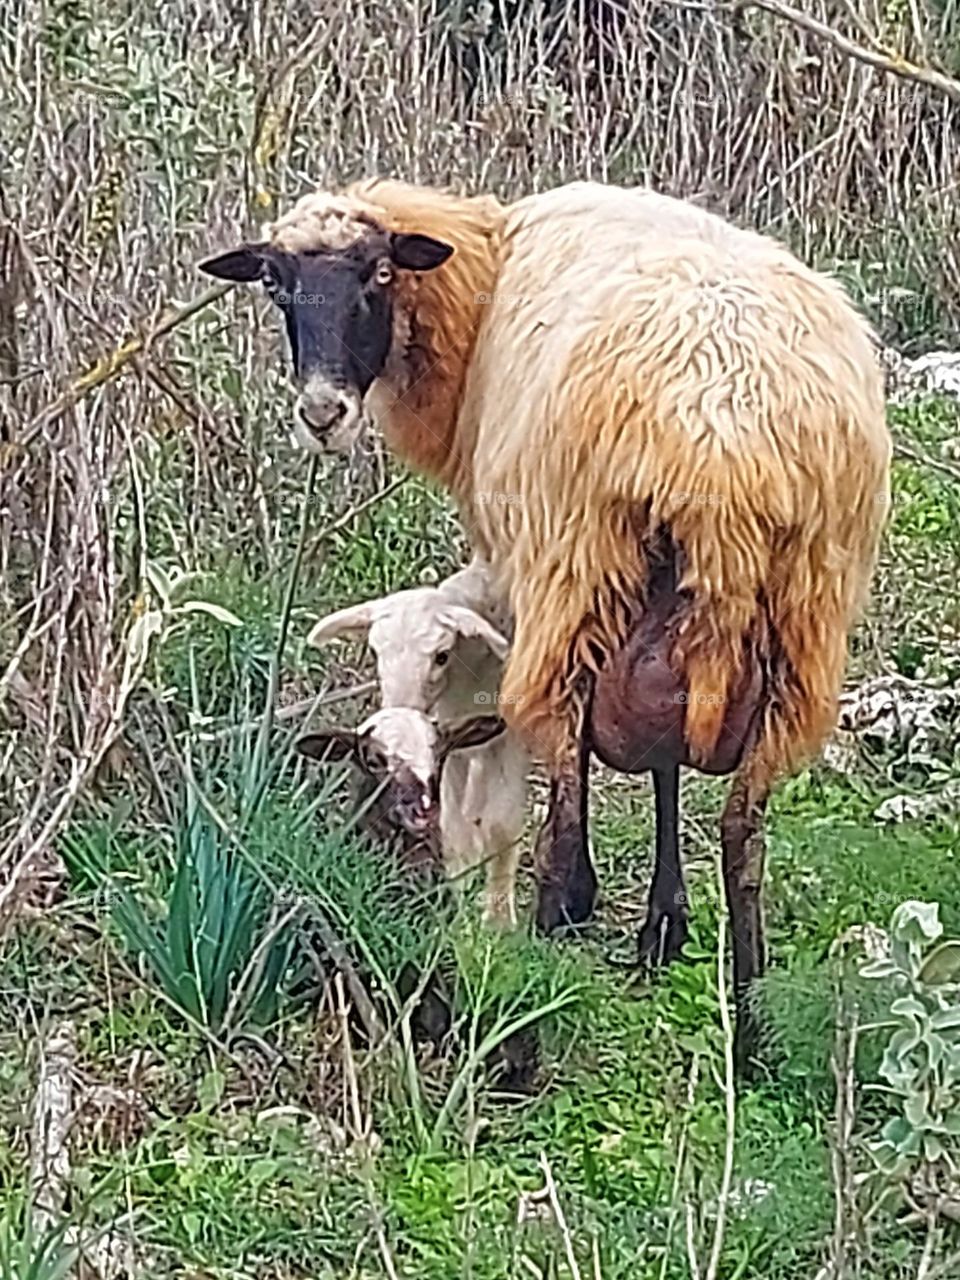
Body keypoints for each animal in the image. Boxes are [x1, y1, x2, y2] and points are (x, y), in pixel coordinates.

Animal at [296, 555, 529, 926]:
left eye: (441, 655)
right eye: (375, 651)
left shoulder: (506, 735)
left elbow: (502, 826)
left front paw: (497, 923)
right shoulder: (455, 736)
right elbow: (455, 827)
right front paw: (459, 900)